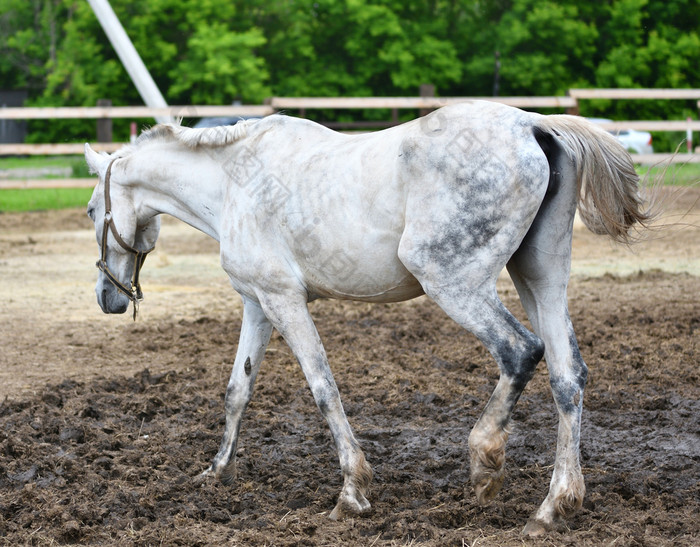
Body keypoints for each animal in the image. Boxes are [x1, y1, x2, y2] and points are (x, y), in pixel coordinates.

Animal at [85, 101, 648, 536]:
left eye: (92, 210)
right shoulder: (257, 304)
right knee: (567, 376)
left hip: (453, 283)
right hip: (540, 278)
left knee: (520, 351)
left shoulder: (284, 301)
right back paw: (554, 507)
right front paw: (216, 471)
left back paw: (485, 463)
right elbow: (237, 391)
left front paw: (352, 492)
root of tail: (533, 126)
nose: (108, 298)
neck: (232, 182)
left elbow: (323, 388)